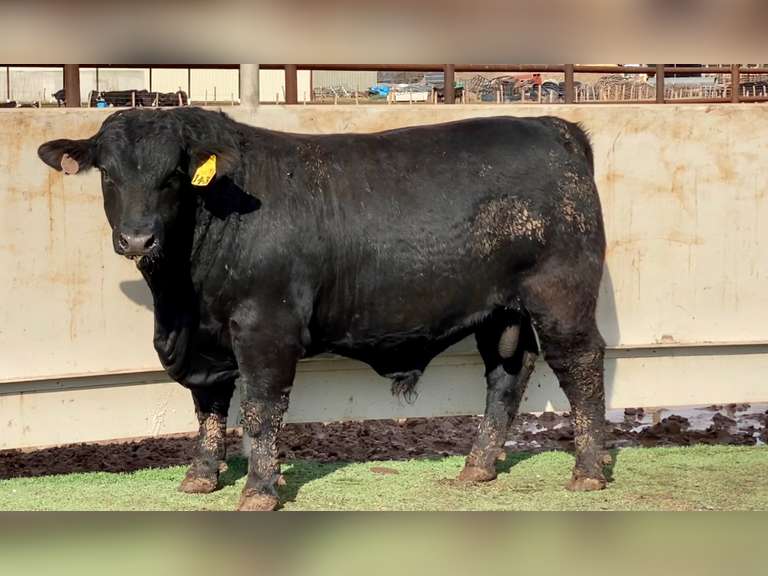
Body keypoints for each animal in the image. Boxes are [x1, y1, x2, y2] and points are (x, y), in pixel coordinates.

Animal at [37, 108, 608, 510]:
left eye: (174, 174)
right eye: (107, 174)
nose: (138, 238)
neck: (180, 298)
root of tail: (555, 128)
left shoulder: (265, 326)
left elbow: (262, 408)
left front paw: (259, 490)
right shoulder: (205, 341)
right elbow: (208, 405)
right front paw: (200, 477)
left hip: (562, 298)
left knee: (582, 366)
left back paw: (589, 471)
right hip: (501, 313)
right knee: (507, 375)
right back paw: (478, 466)